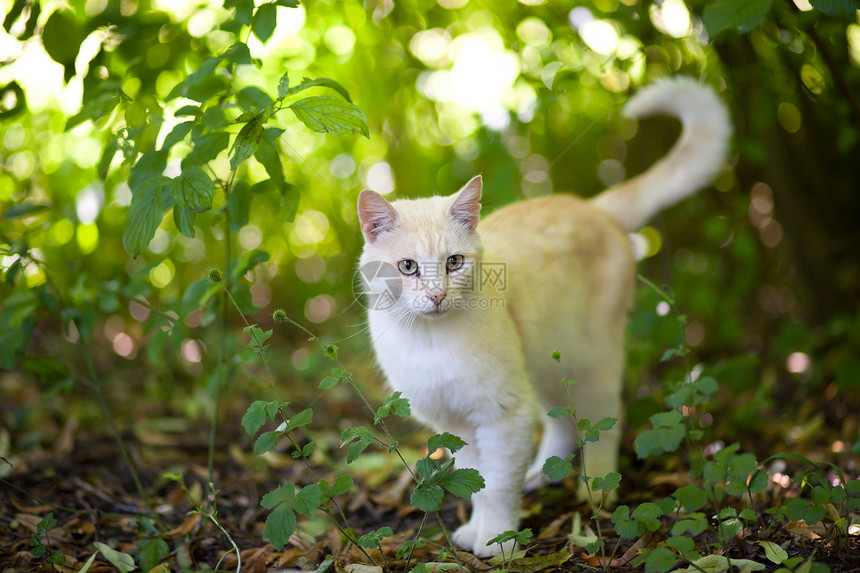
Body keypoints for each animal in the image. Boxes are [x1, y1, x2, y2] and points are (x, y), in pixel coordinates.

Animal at [352, 76, 728, 556]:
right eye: (407, 267)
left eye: (453, 262)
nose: (436, 296)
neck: (431, 342)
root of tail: (593, 207)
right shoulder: (458, 427)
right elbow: (475, 483)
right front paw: (474, 531)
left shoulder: (503, 417)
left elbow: (496, 488)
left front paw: (497, 542)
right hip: (547, 366)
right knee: (564, 425)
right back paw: (538, 475)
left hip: (589, 359)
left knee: (603, 418)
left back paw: (596, 491)